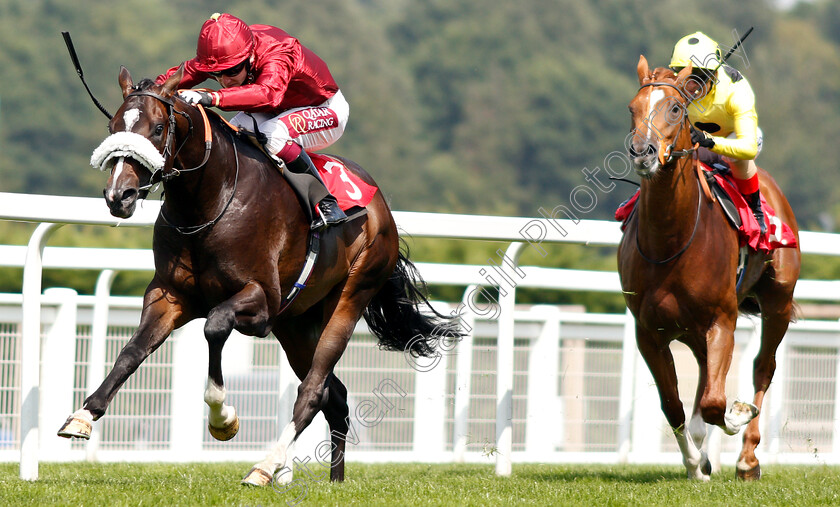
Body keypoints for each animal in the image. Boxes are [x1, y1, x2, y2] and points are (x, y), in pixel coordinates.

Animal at [58, 65, 452, 486]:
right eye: (113, 125)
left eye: (159, 127)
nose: (120, 195)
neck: (208, 203)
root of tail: (381, 207)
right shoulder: (169, 295)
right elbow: (131, 352)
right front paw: (82, 416)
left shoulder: (261, 303)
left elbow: (215, 325)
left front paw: (223, 420)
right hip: (296, 325)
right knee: (337, 397)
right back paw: (333, 479)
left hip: (350, 295)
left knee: (314, 390)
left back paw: (265, 466)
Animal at [616, 57, 800, 482]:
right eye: (632, 108)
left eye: (675, 109)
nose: (642, 152)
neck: (671, 242)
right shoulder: (648, 331)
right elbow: (674, 406)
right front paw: (694, 464)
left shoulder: (722, 319)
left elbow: (716, 401)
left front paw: (736, 415)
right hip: (695, 331)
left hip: (778, 302)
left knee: (763, 367)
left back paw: (748, 459)